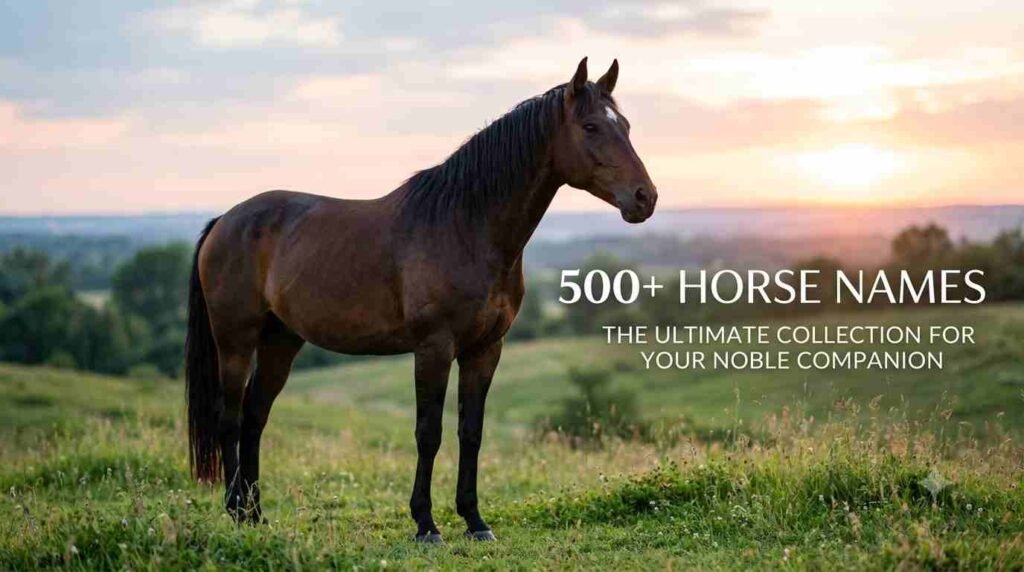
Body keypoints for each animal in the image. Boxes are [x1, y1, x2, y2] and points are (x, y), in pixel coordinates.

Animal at [184, 57, 657, 543]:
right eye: (590, 126)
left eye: (625, 125)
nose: (645, 198)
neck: (466, 227)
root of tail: (225, 220)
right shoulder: (434, 347)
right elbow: (428, 432)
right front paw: (426, 525)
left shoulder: (485, 349)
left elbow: (471, 432)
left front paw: (475, 521)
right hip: (235, 340)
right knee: (230, 418)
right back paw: (234, 511)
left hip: (281, 340)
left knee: (255, 418)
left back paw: (256, 514)